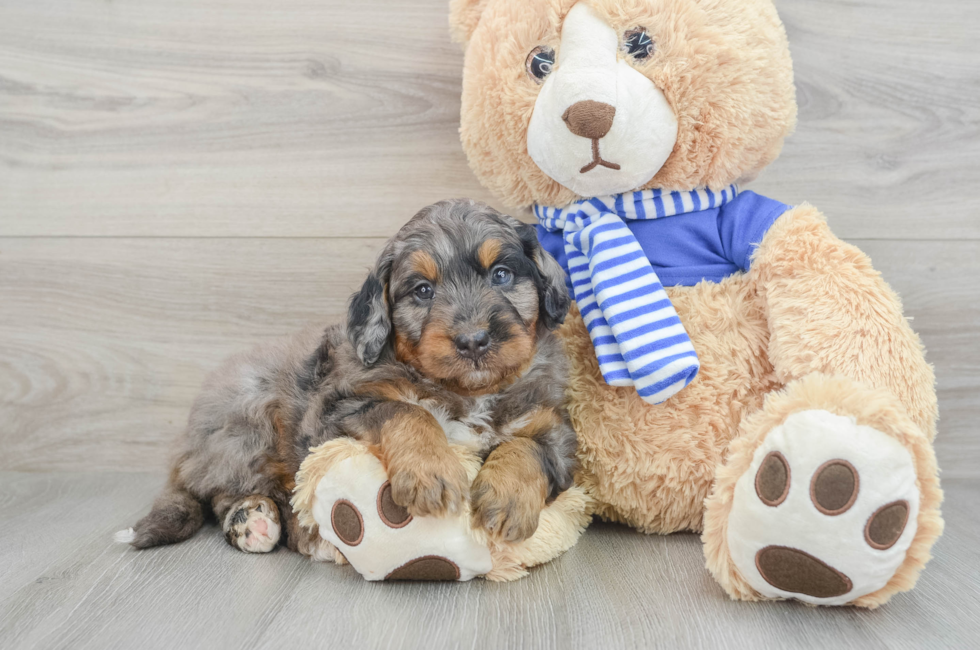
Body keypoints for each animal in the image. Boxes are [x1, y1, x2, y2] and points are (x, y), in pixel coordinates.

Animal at [124, 197, 580, 556]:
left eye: (501, 274)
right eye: (423, 291)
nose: (473, 341)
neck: (466, 392)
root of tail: (186, 450)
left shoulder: (554, 425)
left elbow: (528, 447)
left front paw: (507, 500)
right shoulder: (335, 412)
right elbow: (407, 412)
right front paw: (431, 473)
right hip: (248, 418)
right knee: (223, 492)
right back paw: (263, 524)